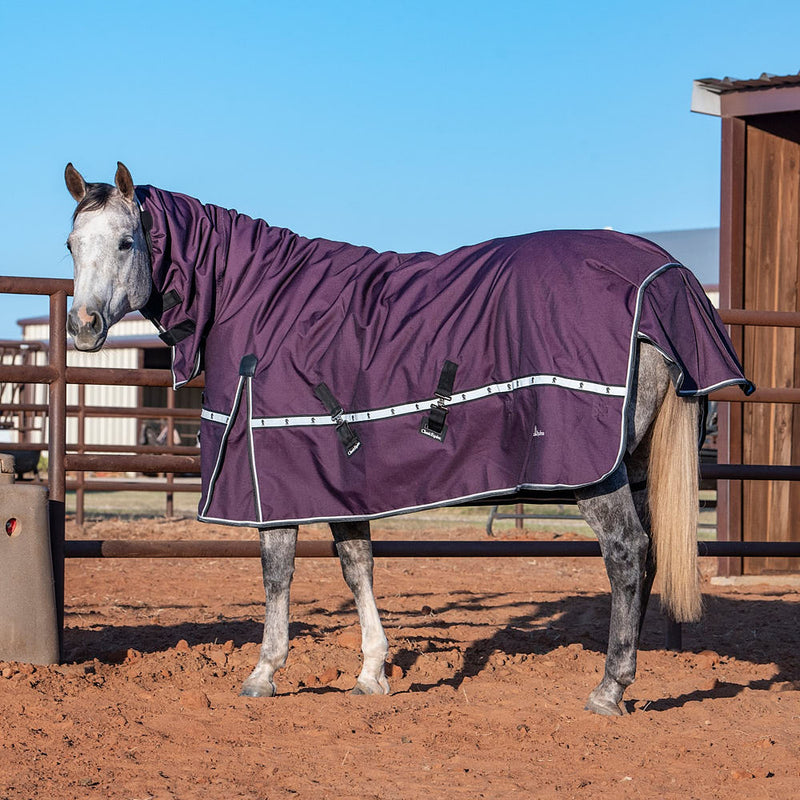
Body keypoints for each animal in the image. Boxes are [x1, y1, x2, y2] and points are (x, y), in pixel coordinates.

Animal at [63, 162, 751, 715]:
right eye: (71, 243)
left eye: (125, 241)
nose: (84, 326)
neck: (258, 296)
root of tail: (669, 277)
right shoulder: (337, 476)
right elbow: (357, 564)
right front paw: (371, 673)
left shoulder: (273, 474)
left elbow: (277, 572)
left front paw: (264, 674)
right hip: (636, 465)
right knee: (651, 556)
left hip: (594, 473)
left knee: (627, 554)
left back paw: (608, 690)